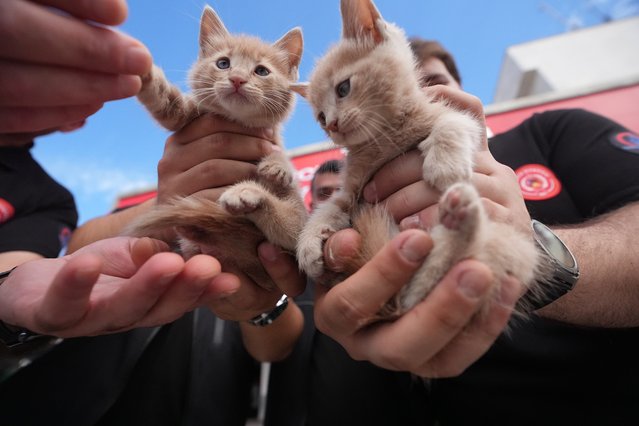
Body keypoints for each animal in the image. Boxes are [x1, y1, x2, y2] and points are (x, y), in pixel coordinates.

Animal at [125, 5, 310, 292]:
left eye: (261, 71)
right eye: (223, 63)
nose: (237, 79)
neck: (237, 120)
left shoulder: (297, 226)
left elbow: (291, 225)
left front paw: (277, 166)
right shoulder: (186, 116)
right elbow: (167, 103)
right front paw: (145, 73)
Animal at [298, 0, 548, 320]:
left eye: (343, 88)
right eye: (320, 117)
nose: (331, 125)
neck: (383, 138)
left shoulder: (457, 116)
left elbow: (453, 122)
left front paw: (445, 167)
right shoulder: (350, 191)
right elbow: (329, 207)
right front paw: (308, 242)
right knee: (413, 295)